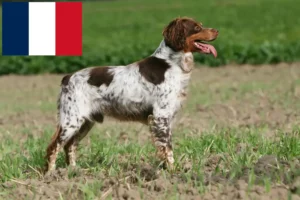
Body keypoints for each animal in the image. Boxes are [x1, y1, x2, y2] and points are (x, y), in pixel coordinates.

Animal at [45, 16, 218, 172]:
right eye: (197, 27)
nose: (217, 30)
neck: (171, 63)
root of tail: (68, 77)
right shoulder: (161, 116)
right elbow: (167, 148)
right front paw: (172, 171)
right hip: (71, 120)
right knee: (53, 147)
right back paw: (51, 174)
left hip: (85, 122)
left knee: (70, 146)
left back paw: (73, 171)